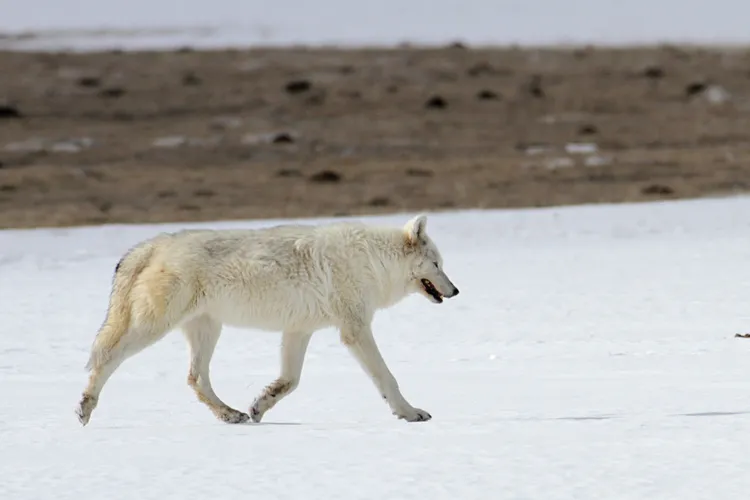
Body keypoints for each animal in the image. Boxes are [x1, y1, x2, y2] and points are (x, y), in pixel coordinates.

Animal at [75, 214, 459, 426]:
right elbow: (386, 378)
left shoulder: (299, 331)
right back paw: (84, 408)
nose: (455, 291)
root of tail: (151, 244)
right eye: (437, 264)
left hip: (207, 330)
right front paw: (410, 413)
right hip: (153, 328)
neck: (374, 261)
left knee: (195, 379)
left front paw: (259, 406)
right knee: (106, 358)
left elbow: (289, 381)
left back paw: (231, 415)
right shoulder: (354, 330)